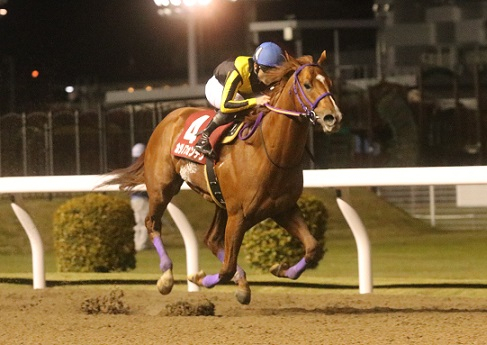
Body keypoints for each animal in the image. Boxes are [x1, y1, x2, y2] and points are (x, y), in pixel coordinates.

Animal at [101, 51, 342, 304]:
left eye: (330, 83)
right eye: (307, 85)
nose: (332, 117)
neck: (269, 151)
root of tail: (169, 117)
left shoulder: (283, 208)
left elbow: (312, 248)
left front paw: (281, 269)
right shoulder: (239, 215)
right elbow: (226, 268)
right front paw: (198, 279)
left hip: (219, 200)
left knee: (211, 239)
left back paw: (241, 281)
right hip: (162, 187)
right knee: (152, 223)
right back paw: (166, 276)